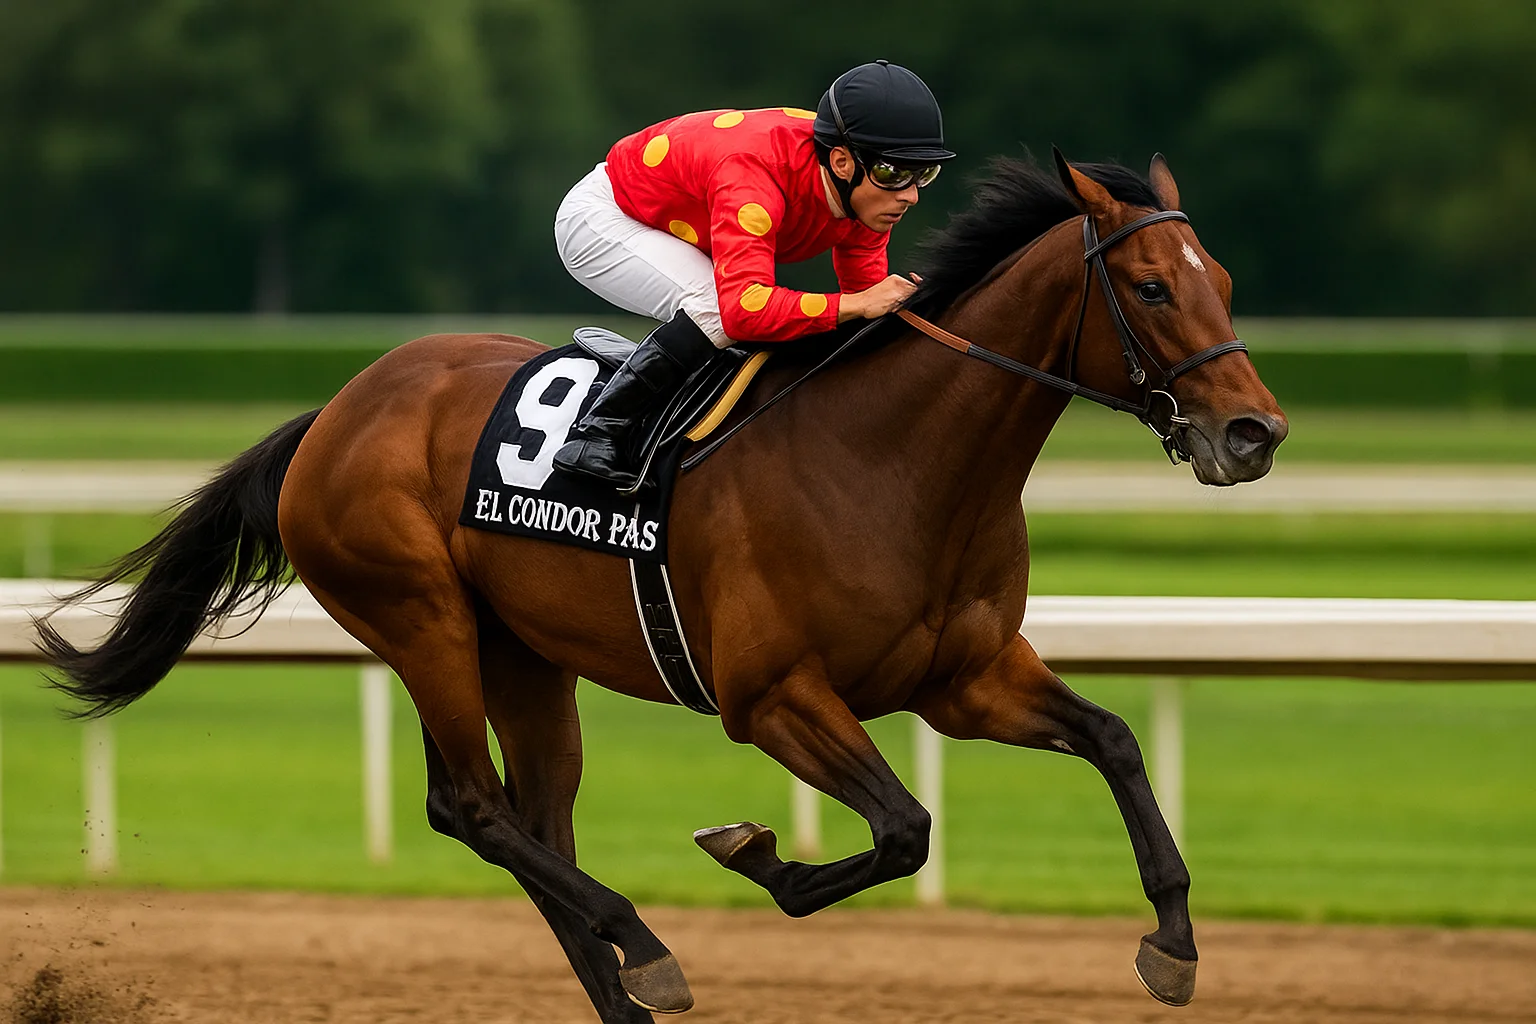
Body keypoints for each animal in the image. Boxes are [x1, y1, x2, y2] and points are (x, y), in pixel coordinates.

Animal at [39, 151, 1286, 1020]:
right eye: (1149, 288)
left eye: (1223, 279)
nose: (1255, 433)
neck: (897, 461)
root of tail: (335, 412)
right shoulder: (773, 697)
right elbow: (903, 827)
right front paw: (755, 851)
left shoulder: (966, 678)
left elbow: (1114, 738)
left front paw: (1174, 943)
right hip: (420, 616)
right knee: (472, 806)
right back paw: (645, 946)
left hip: (523, 653)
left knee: (533, 818)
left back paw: (626, 983)